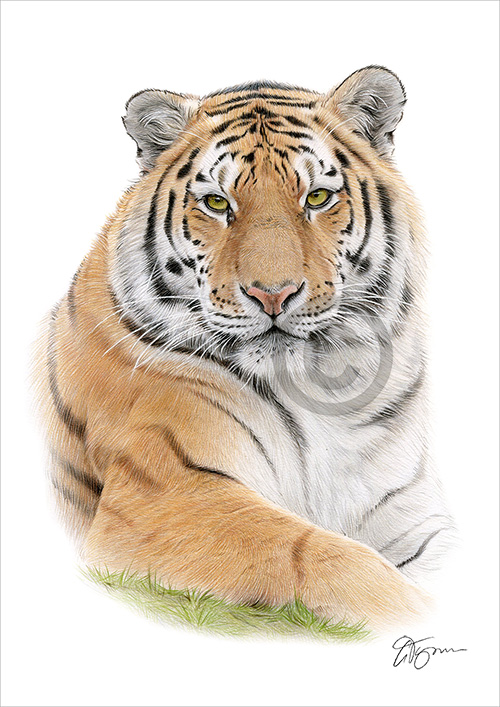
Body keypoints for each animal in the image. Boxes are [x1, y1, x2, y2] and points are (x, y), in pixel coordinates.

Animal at [34, 65, 455, 632]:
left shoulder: (410, 512)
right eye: (217, 203)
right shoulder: (167, 492)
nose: (272, 294)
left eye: (317, 198)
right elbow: (317, 555)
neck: (320, 391)